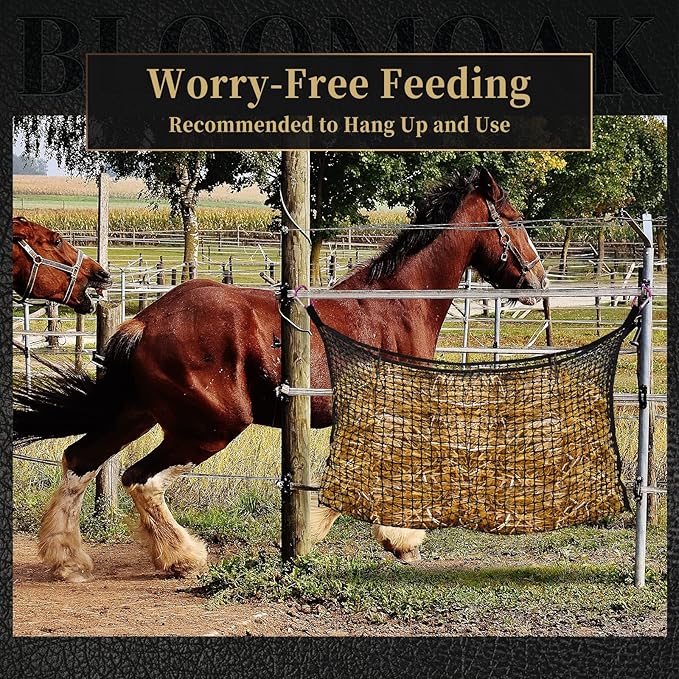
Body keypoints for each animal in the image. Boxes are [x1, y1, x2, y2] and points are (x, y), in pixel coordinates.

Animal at [13, 167, 548, 582]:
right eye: (515, 220)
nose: (538, 279)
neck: (393, 306)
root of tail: (144, 321)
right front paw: (390, 541)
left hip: (136, 415)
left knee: (79, 460)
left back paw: (67, 560)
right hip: (210, 427)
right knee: (140, 478)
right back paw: (183, 557)